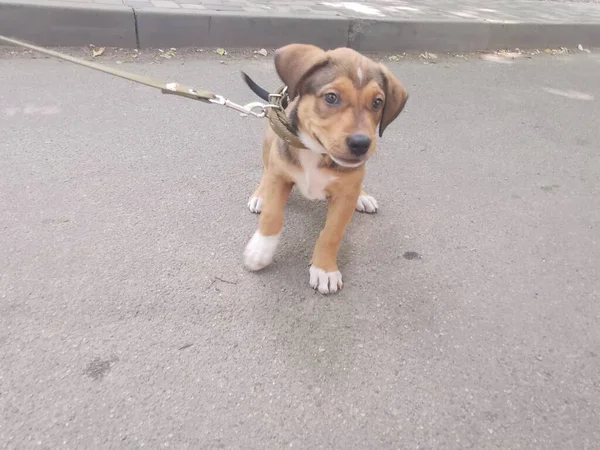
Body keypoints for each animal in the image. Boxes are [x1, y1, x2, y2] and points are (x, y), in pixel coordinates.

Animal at [244, 44, 408, 294]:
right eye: (331, 97)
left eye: (378, 102)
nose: (361, 144)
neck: (317, 151)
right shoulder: (280, 176)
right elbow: (272, 215)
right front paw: (260, 250)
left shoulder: (344, 198)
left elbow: (331, 233)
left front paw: (324, 270)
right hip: (270, 138)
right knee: (266, 168)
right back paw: (260, 195)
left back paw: (363, 196)